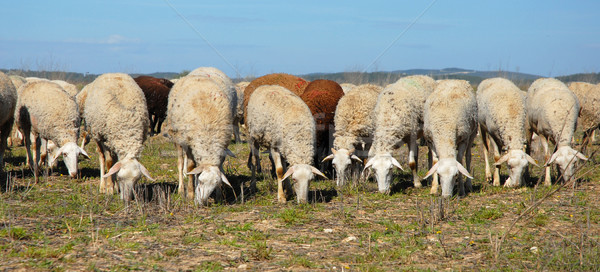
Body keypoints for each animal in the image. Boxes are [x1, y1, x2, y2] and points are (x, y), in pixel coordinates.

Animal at [82, 73, 155, 201]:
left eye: (137, 179)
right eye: (121, 178)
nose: (127, 199)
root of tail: (111, 73)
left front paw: (115, 186)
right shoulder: (105, 138)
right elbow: (109, 163)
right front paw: (109, 189)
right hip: (97, 133)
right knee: (102, 158)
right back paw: (103, 185)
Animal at [168, 74, 236, 204]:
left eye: (214, 185)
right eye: (200, 180)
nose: (202, 202)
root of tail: (193, 75)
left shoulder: (223, 147)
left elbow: (220, 168)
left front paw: (219, 196)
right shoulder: (189, 143)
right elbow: (190, 166)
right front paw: (190, 193)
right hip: (178, 136)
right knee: (180, 163)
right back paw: (181, 189)